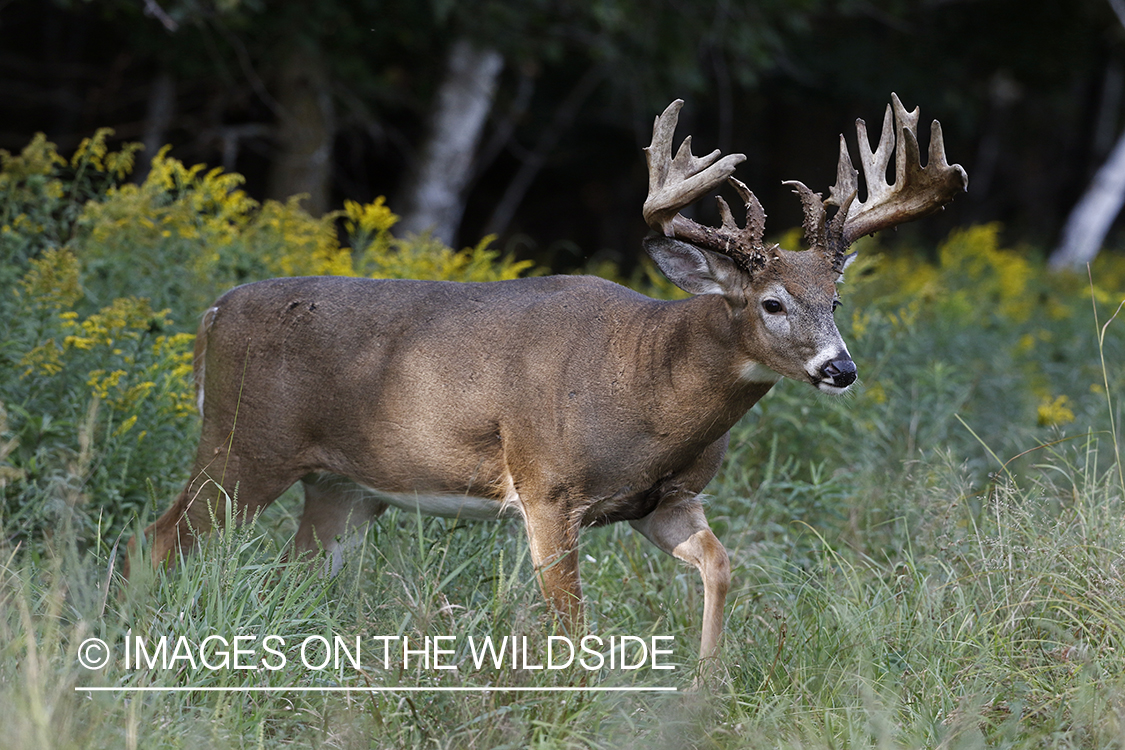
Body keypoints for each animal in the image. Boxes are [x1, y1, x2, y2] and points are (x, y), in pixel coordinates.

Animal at [136, 93, 967, 661]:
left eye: (835, 300)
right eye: (771, 302)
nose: (840, 368)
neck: (644, 382)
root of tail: (214, 311)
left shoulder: (666, 499)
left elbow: (721, 567)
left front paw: (706, 683)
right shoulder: (545, 487)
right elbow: (573, 622)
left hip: (343, 487)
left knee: (294, 571)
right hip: (245, 444)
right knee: (161, 535)